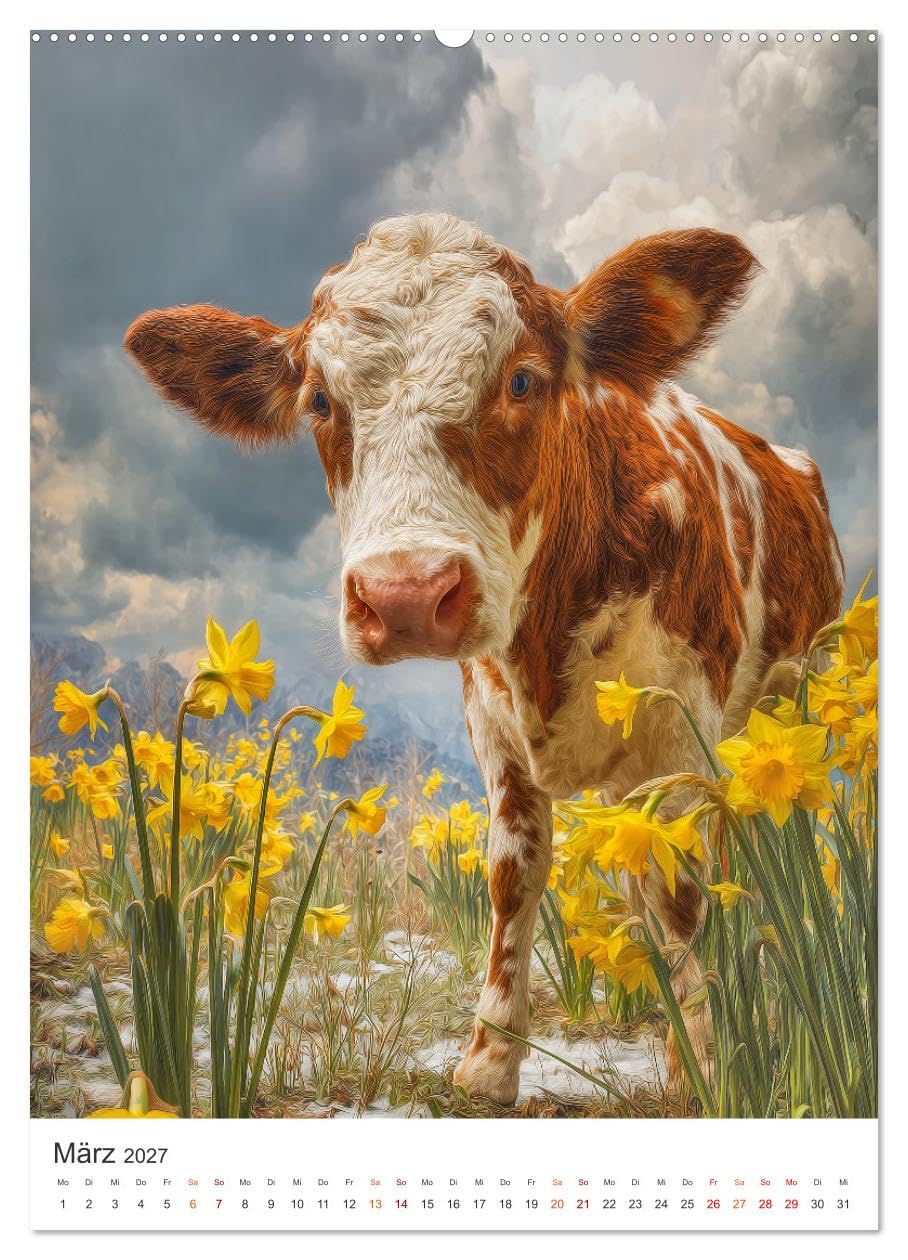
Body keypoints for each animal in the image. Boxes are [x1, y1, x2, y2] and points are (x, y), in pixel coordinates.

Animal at [125, 212, 844, 1105]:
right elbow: (514, 878)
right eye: (319, 400)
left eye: (524, 381)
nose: (404, 593)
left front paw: (708, 1069)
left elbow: (681, 893)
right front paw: (490, 1059)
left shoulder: (684, 722)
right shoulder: (494, 727)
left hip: (797, 701)